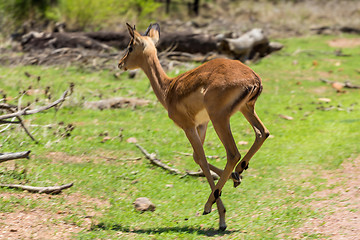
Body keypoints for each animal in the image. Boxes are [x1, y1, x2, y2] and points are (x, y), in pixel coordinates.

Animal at [119, 23, 270, 231]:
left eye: (130, 46)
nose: (120, 63)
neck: (169, 89)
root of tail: (254, 79)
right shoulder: (202, 125)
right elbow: (197, 158)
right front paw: (235, 179)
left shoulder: (188, 127)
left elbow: (202, 159)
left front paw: (219, 216)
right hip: (245, 109)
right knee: (262, 133)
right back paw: (239, 171)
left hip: (220, 118)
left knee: (233, 153)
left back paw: (210, 204)